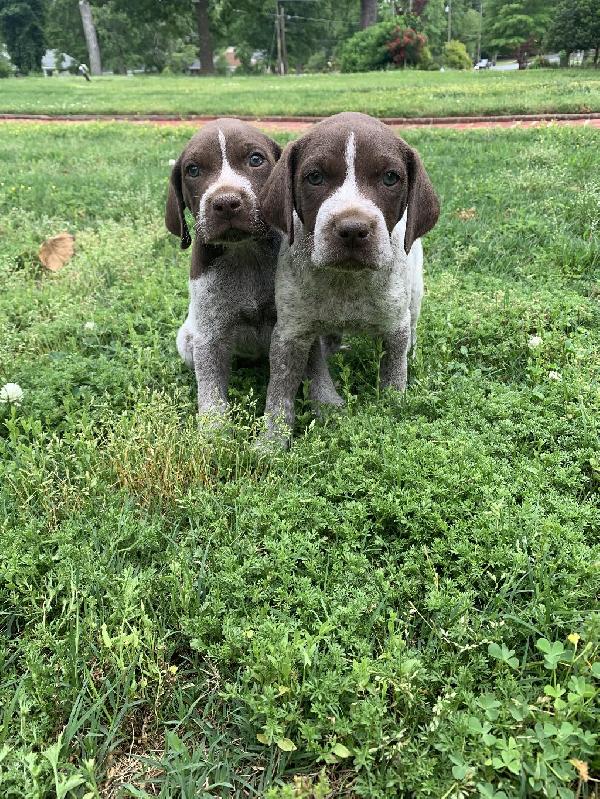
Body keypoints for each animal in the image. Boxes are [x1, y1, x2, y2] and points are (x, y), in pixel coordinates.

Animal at [166, 120, 340, 418]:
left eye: (255, 160)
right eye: (193, 170)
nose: (226, 203)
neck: (245, 253)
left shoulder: (297, 321)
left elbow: (316, 367)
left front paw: (327, 403)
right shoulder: (209, 335)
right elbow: (211, 391)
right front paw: (213, 428)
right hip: (186, 339)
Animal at [258, 111, 440, 444]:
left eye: (390, 178)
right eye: (315, 177)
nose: (353, 230)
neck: (345, 281)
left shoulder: (395, 328)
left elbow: (393, 379)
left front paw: (391, 417)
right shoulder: (289, 335)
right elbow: (279, 394)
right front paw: (271, 442)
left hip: (416, 295)